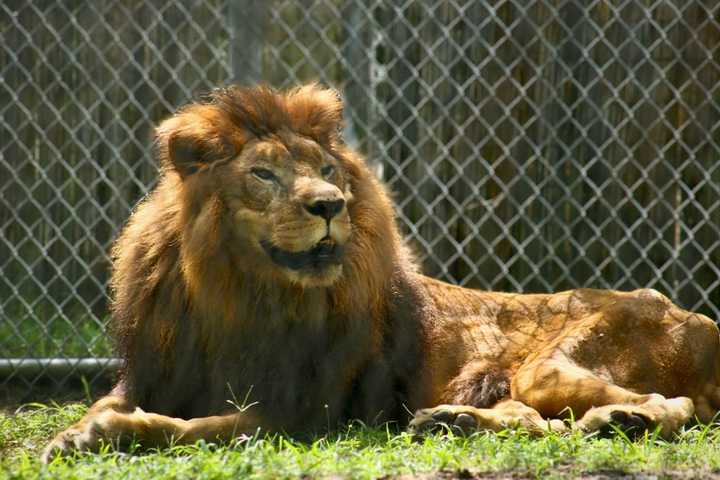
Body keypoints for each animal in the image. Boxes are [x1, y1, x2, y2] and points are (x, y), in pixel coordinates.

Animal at [43, 83, 720, 462]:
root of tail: (702, 321)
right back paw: (453, 422)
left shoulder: (302, 415)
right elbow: (108, 405)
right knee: (532, 420)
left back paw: (622, 420)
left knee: (674, 404)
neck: (237, 295)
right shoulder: (151, 371)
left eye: (328, 170)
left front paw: (112, 433)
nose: (328, 205)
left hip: (553, 365)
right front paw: (69, 436)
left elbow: (196, 428)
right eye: (263, 174)